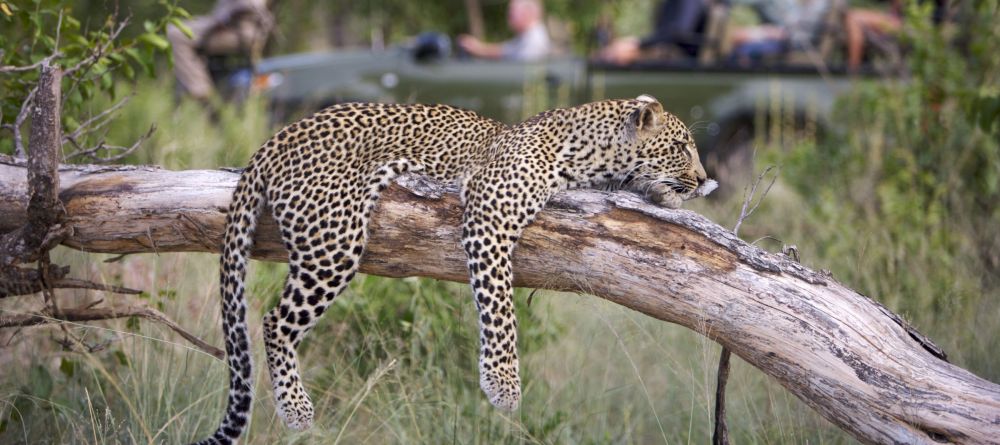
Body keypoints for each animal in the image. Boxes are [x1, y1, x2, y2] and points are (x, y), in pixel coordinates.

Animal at [192, 95, 717, 444]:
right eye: (681, 145)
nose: (703, 179)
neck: (584, 152)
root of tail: (276, 139)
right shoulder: (489, 213)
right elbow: (500, 307)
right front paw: (503, 386)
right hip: (334, 241)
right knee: (273, 322)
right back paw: (296, 411)